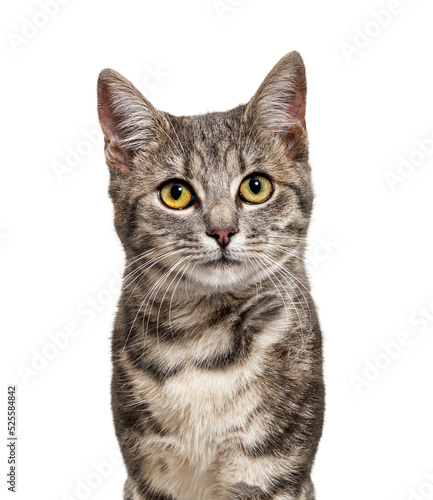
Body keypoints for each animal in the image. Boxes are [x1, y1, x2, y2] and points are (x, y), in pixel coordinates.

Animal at [96, 51, 322, 500]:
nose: (222, 231)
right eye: (176, 193)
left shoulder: (273, 466)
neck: (202, 335)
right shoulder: (147, 471)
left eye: (256, 187)